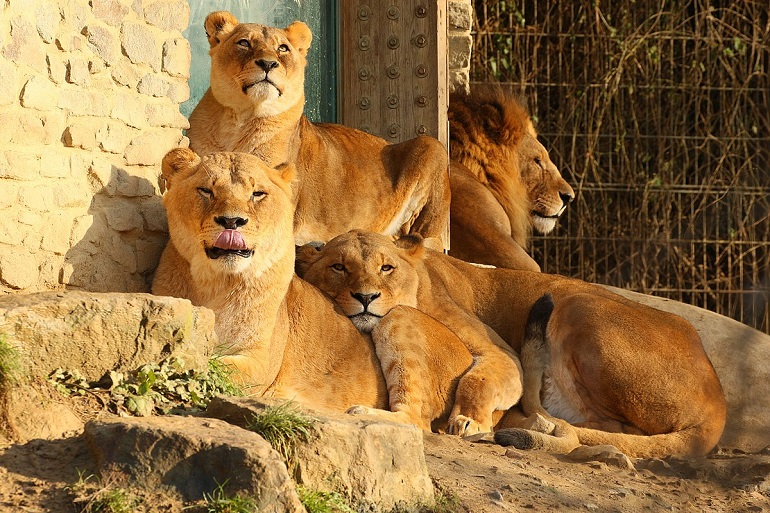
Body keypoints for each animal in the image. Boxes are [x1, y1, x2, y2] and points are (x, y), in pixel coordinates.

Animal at [151, 148, 519, 436]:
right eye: (205, 191)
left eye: (257, 194)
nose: (231, 222)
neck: (217, 282)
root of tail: (466, 353)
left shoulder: (258, 362)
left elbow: (214, 365)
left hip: (399, 318)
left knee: (417, 420)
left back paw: (359, 412)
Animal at [296, 232, 727, 458]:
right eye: (339, 267)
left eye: (386, 267)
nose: (366, 297)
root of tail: (719, 401)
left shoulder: (501, 353)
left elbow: (479, 380)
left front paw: (469, 421)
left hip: (577, 303)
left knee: (611, 427)